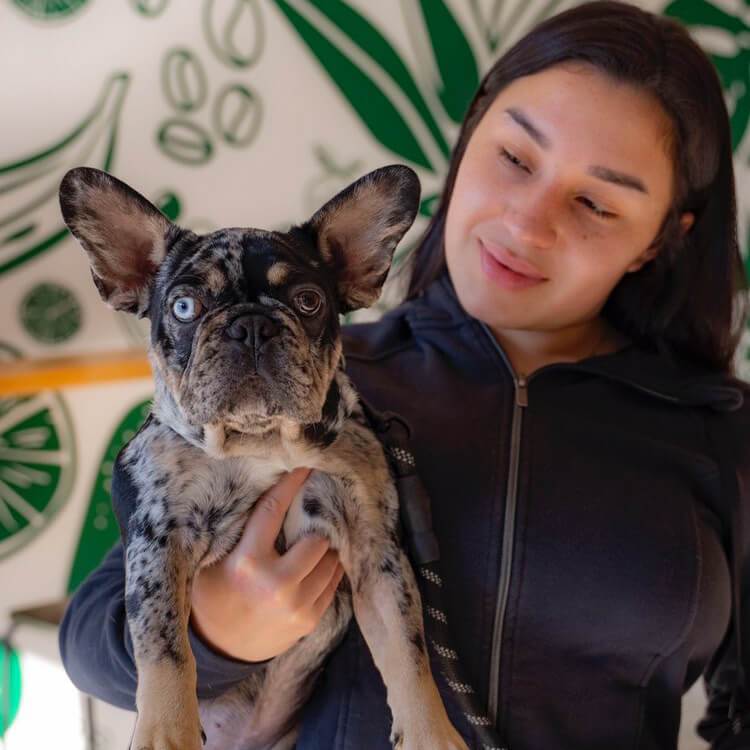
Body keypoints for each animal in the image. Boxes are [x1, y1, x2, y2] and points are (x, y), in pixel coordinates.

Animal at [60, 166, 470, 750]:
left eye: (308, 301)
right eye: (184, 306)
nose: (252, 324)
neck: (261, 441)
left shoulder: (379, 555)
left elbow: (408, 652)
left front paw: (431, 734)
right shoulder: (159, 542)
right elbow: (165, 647)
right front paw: (166, 732)